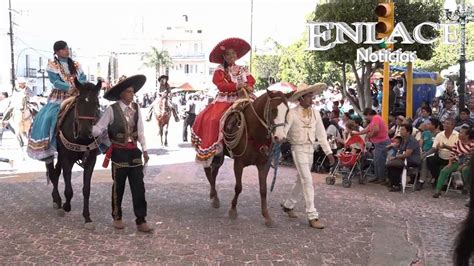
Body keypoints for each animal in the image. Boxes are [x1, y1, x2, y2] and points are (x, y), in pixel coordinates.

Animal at [46, 78, 101, 230]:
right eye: (79, 102)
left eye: (96, 104)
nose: (85, 132)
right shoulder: (67, 159)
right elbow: (69, 189)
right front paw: (66, 206)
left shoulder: (91, 160)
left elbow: (86, 189)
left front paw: (87, 217)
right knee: (52, 173)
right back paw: (57, 200)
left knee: (56, 172)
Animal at [205, 90, 290, 228]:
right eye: (273, 110)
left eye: (287, 110)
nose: (280, 137)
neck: (254, 133)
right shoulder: (238, 163)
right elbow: (238, 187)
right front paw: (233, 210)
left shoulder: (264, 165)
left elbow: (263, 190)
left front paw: (267, 216)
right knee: (208, 171)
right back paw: (214, 198)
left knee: (214, 173)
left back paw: (214, 196)